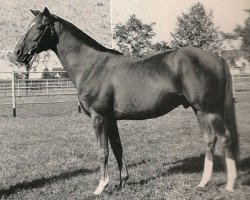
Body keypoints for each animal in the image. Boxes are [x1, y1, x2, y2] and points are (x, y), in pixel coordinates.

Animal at [13, 7, 238, 194]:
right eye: (28, 25)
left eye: (39, 27)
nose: (17, 53)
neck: (92, 66)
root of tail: (216, 57)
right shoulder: (111, 119)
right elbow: (117, 149)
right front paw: (122, 183)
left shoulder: (98, 118)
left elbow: (102, 151)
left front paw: (101, 187)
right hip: (198, 110)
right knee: (210, 141)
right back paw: (203, 183)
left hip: (210, 110)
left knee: (225, 139)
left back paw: (229, 185)